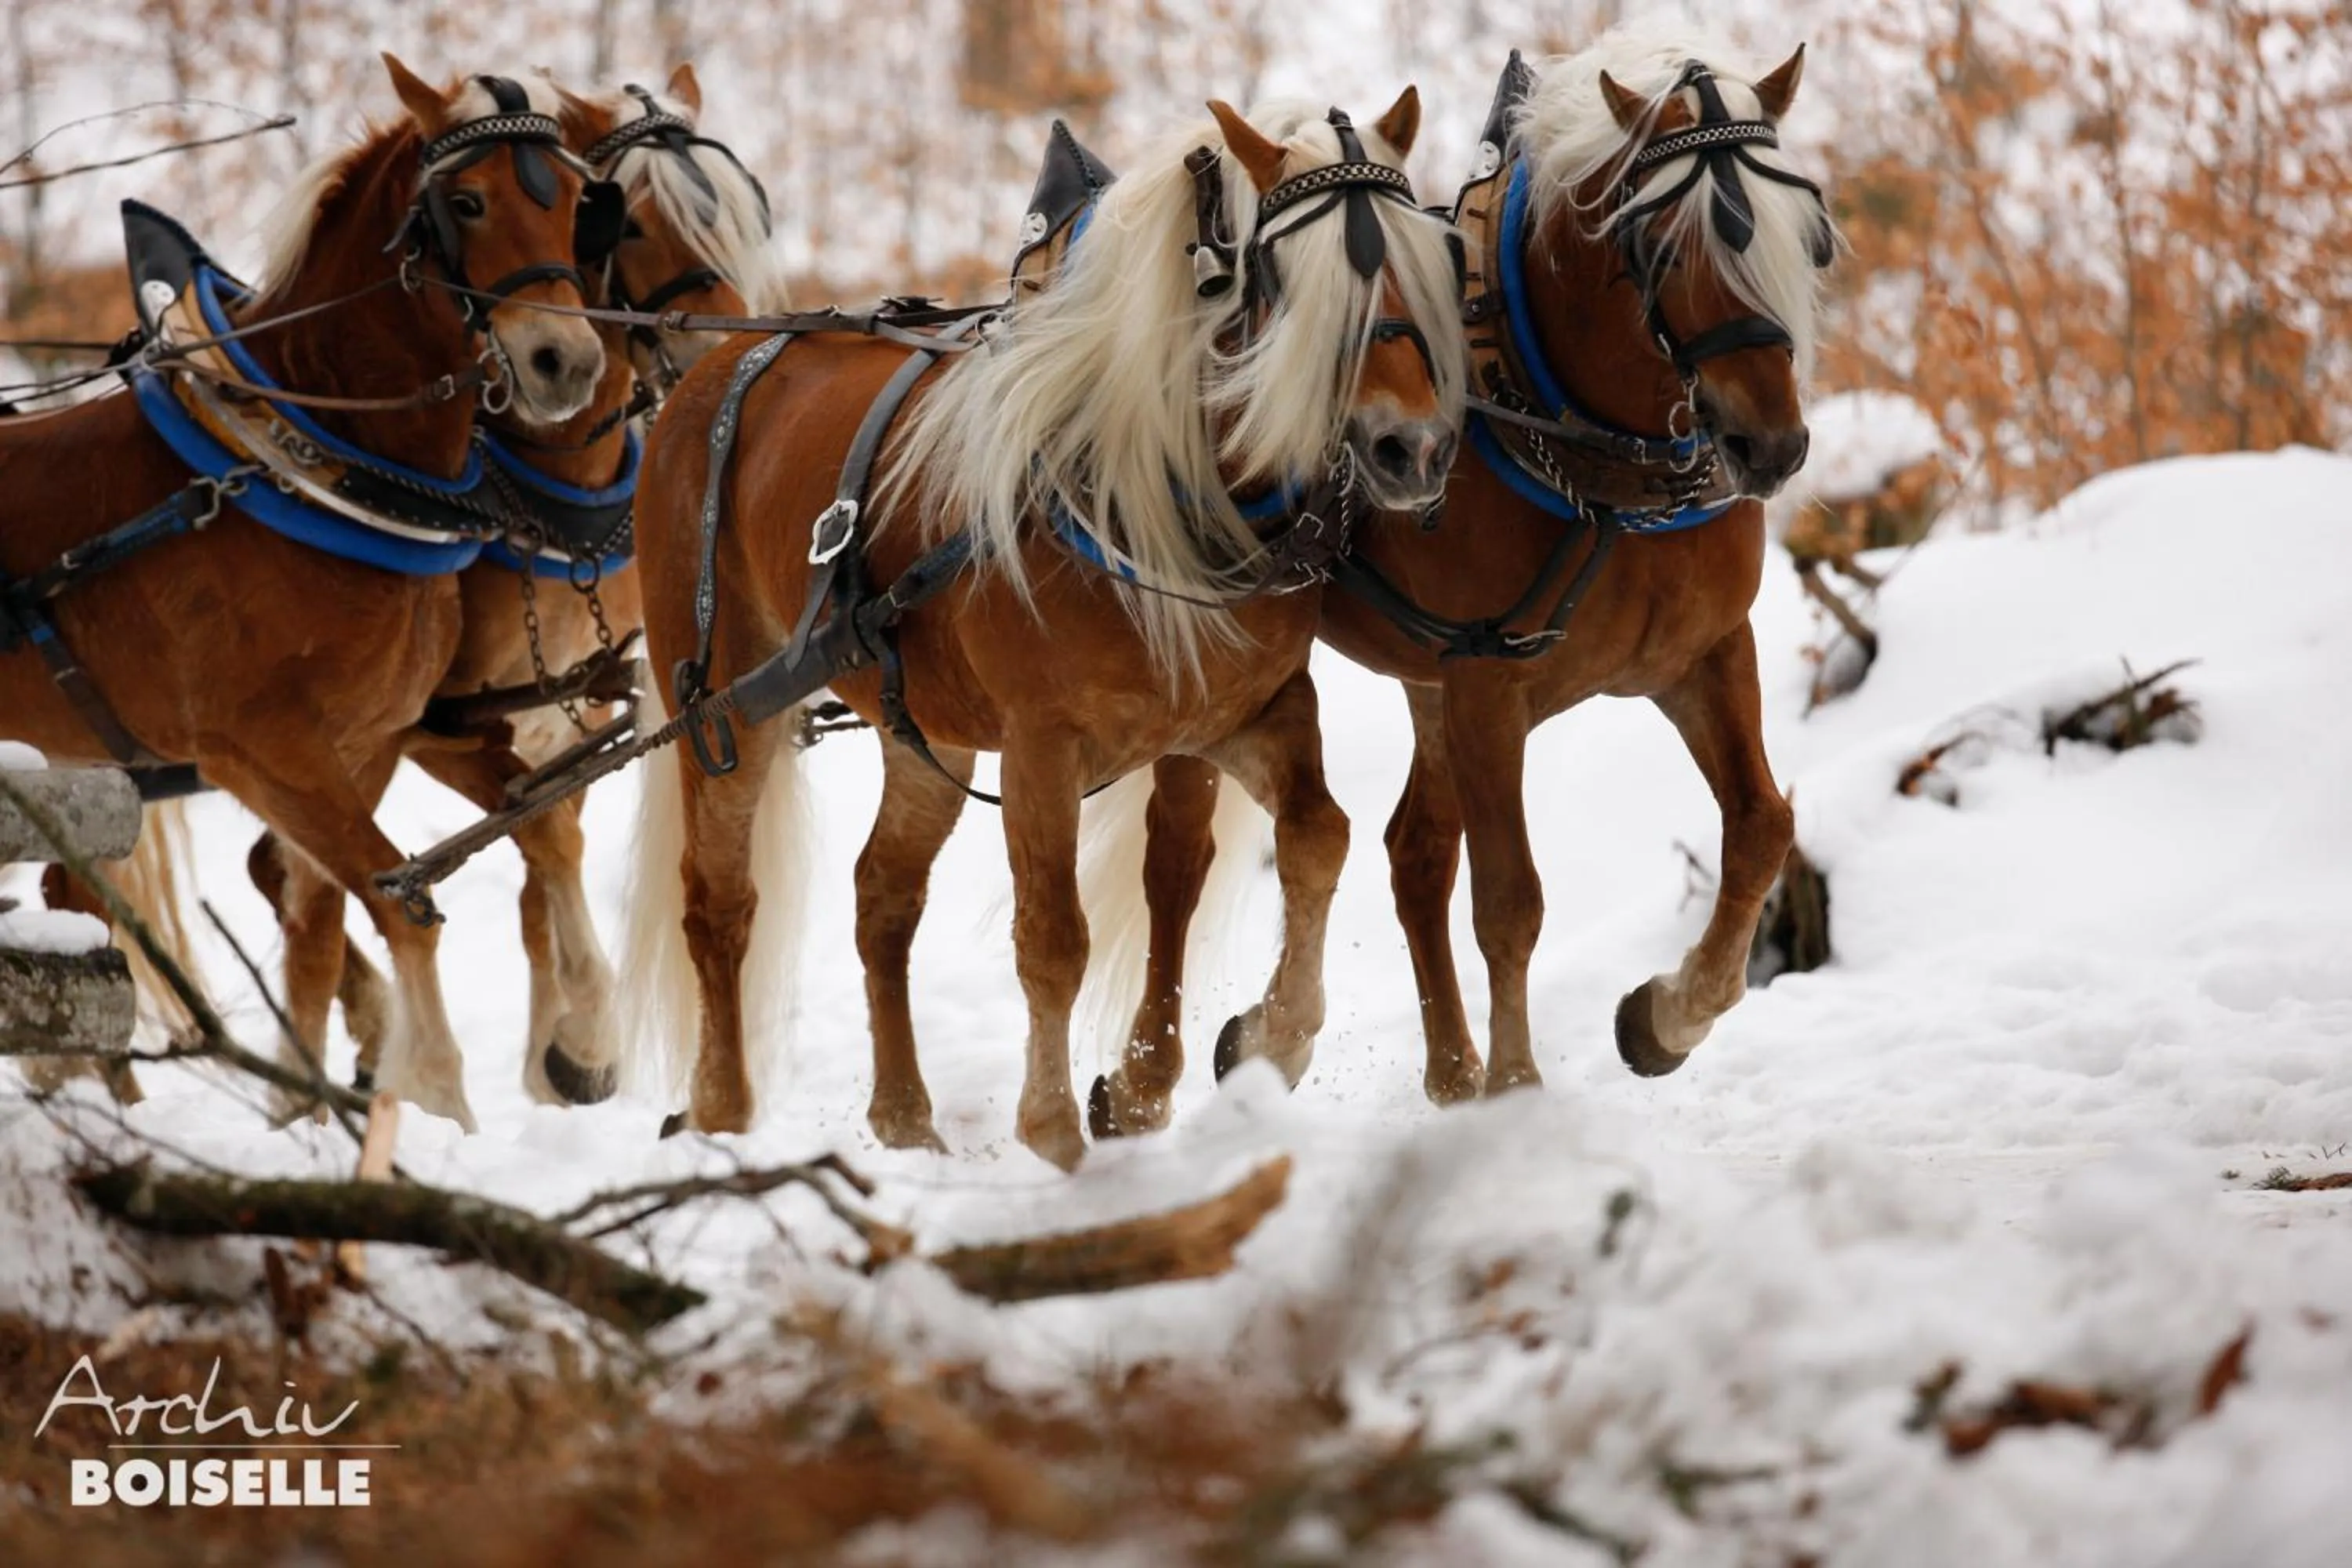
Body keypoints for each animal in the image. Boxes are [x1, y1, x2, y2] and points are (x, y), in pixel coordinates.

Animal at [0, 57, 605, 1131]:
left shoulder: (373, 736)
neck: (304, 473)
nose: (564, 362)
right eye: (465, 201)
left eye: (576, 204)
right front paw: (432, 1104)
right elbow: (398, 899)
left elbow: (339, 901)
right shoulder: (263, 749)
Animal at [242, 63, 778, 1112]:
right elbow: (539, 841)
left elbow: (540, 864)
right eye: (628, 224)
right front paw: (584, 1036)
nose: (720, 367)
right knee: (300, 890)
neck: (545, 495)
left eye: (742, 217)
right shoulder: (432, 726)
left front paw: (556, 1060)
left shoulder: (570, 716)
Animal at [621, 92, 1467, 1167]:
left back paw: (903, 1117)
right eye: (1298, 279)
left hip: (924, 727)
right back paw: (724, 1115)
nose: (1416, 449)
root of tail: (720, 362)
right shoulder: (1040, 747)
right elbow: (1055, 937)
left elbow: (1303, 839)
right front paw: (1056, 1130)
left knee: (882, 893)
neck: (1147, 480)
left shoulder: (1240, 712)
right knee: (718, 899)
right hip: (729, 705)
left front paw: (1258, 1043)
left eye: (1429, 258)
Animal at [1094, 24, 1835, 1129]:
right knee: (1179, 857)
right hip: (1225, 673)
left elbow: (1759, 828)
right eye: (1663, 242)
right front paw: (1523, 1090)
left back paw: (1442, 1073)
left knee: (1412, 851)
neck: (1586, 440)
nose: (1770, 444)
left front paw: (1666, 1018)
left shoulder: (1700, 653)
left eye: (1806, 230)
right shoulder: (1490, 682)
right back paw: (1150, 1080)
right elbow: (1510, 898)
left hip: (1425, 680)